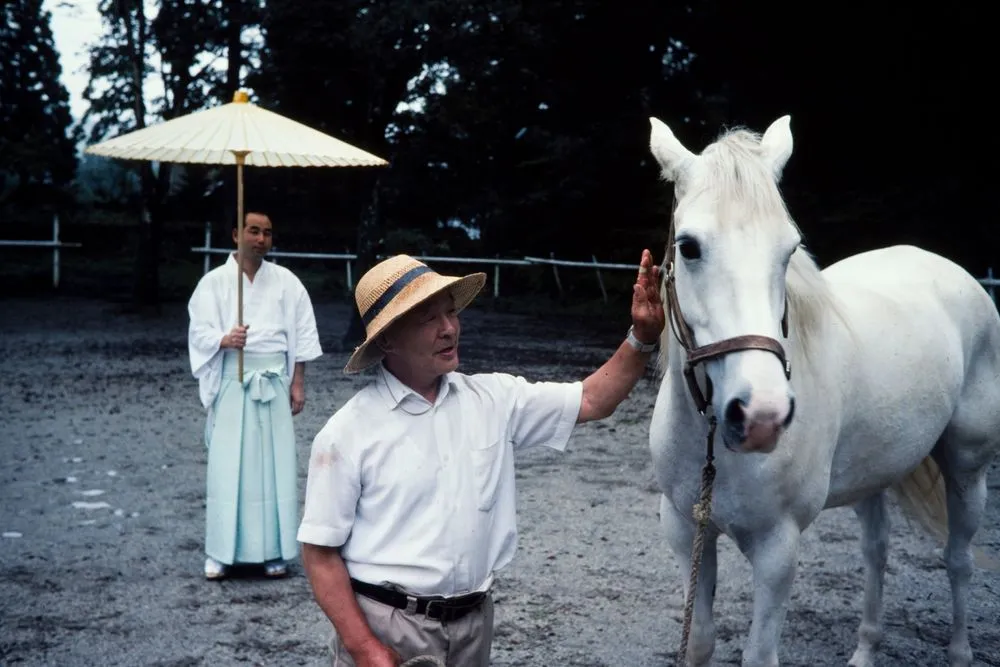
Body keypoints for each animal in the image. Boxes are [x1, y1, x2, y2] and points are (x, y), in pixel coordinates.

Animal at [646, 114, 1000, 667]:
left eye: (789, 250)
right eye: (689, 246)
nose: (761, 416)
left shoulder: (778, 549)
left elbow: (759, 655)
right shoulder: (685, 530)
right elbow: (699, 640)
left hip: (967, 468)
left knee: (958, 558)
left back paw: (961, 651)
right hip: (876, 470)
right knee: (876, 552)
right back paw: (866, 648)